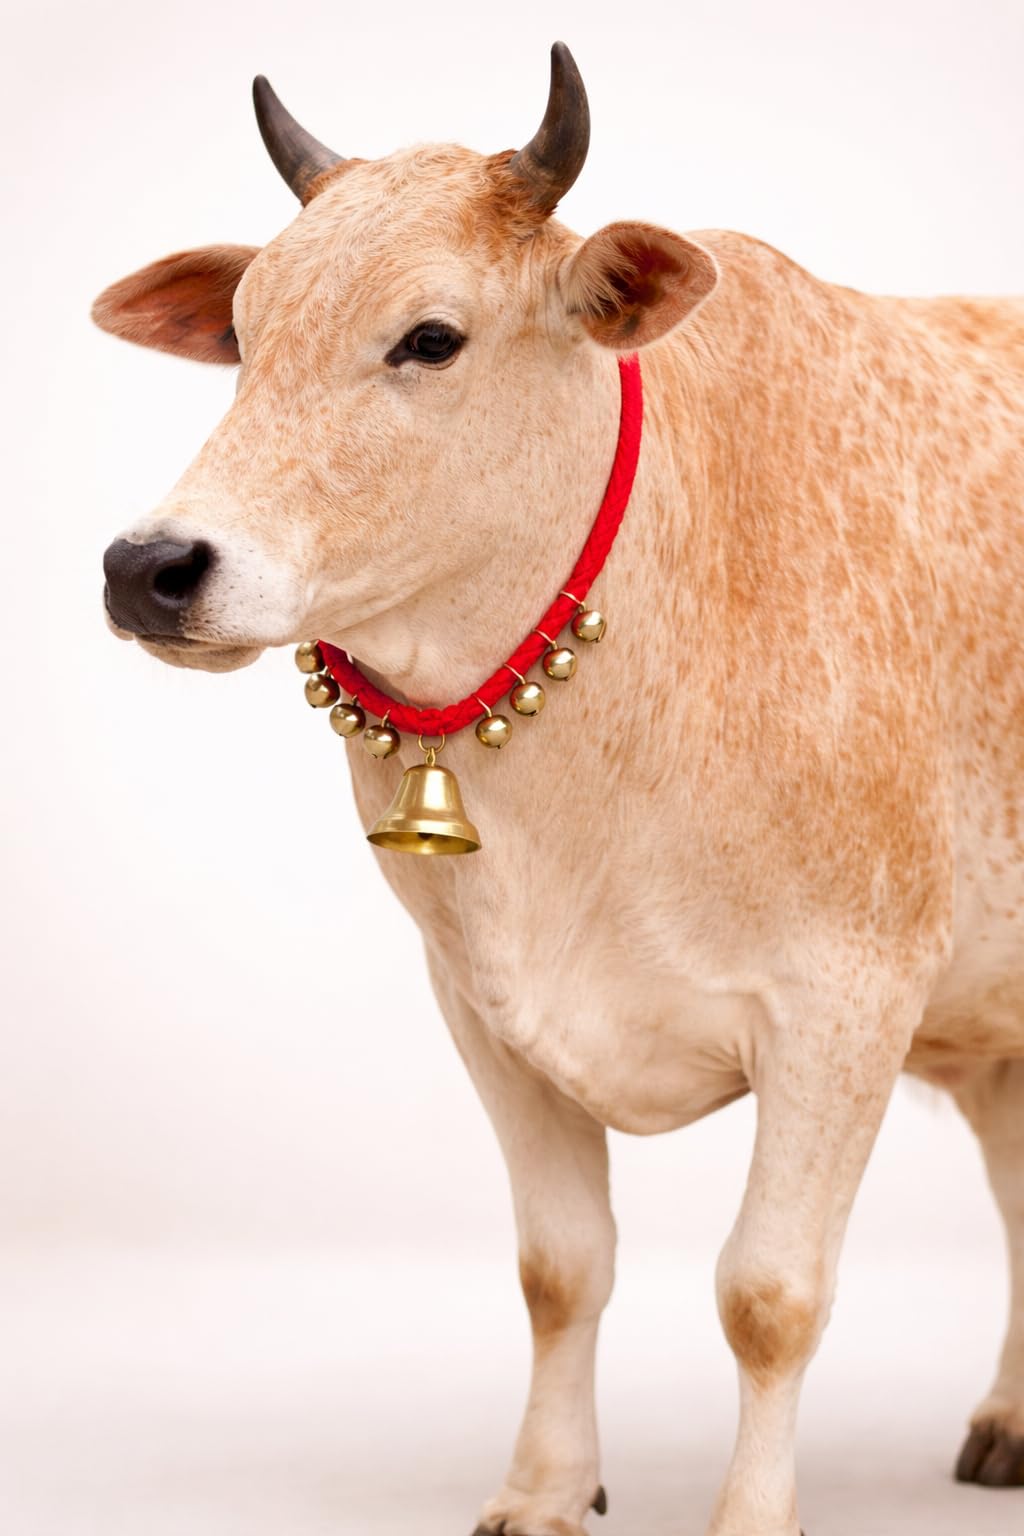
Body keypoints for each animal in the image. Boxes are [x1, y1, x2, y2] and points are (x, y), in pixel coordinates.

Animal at [92, 40, 1024, 1536]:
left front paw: (751, 1517)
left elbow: (770, 1295)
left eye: (430, 338)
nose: (151, 568)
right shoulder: (483, 1007)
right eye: (242, 332)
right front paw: (542, 1492)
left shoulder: (848, 999)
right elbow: (560, 1269)